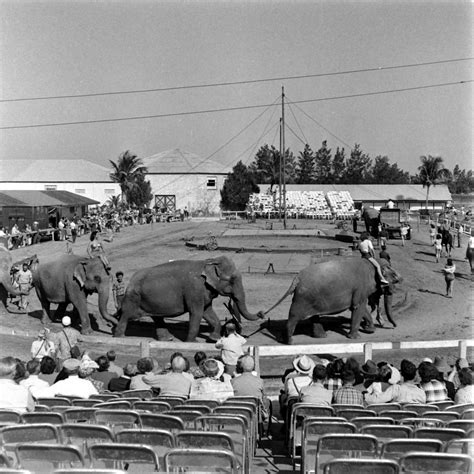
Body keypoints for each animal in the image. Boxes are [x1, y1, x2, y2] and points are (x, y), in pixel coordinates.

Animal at [113, 256, 264, 340]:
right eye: (232, 280)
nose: (261, 313)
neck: (208, 261)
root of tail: (130, 282)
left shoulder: (204, 292)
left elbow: (208, 312)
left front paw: (213, 339)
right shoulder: (194, 290)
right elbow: (196, 313)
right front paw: (192, 342)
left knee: (157, 318)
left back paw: (168, 339)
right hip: (133, 298)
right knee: (126, 315)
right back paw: (119, 338)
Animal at [262, 258, 400, 342]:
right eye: (395, 279)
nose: (394, 326)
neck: (373, 263)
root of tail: (297, 278)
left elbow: (359, 307)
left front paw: (370, 330)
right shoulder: (360, 287)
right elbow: (358, 306)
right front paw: (356, 337)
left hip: (312, 299)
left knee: (314, 316)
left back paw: (320, 337)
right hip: (301, 298)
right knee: (294, 316)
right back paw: (289, 342)